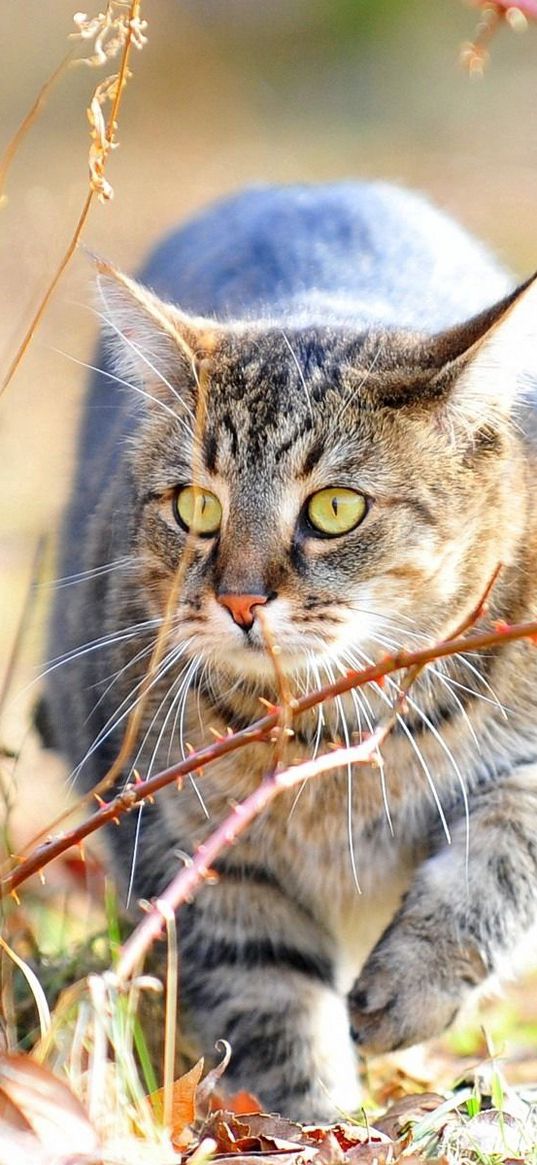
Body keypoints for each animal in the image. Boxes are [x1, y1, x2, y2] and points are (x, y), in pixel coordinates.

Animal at [42, 181, 537, 1118]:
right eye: (196, 506)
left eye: (335, 509)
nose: (239, 600)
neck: (333, 737)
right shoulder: (198, 853)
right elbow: (271, 1012)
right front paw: (313, 1124)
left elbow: (499, 854)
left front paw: (414, 982)